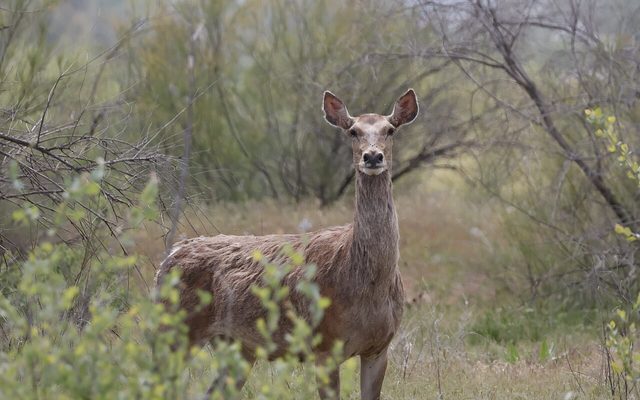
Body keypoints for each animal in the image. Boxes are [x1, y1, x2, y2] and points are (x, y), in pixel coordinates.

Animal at [155, 89, 419, 399]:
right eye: (353, 131)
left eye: (390, 130)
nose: (373, 156)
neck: (367, 285)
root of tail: (167, 258)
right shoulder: (324, 345)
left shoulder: (379, 348)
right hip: (176, 327)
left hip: (236, 345)